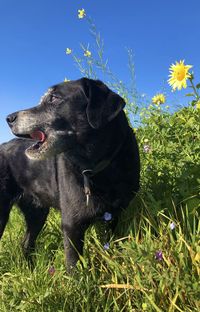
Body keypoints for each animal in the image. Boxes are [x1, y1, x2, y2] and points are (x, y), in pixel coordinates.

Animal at [1, 78, 140, 270]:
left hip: (37, 213)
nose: (9, 118)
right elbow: (74, 267)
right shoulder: (72, 225)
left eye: (53, 98)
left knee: (26, 243)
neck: (97, 170)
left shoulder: (114, 216)